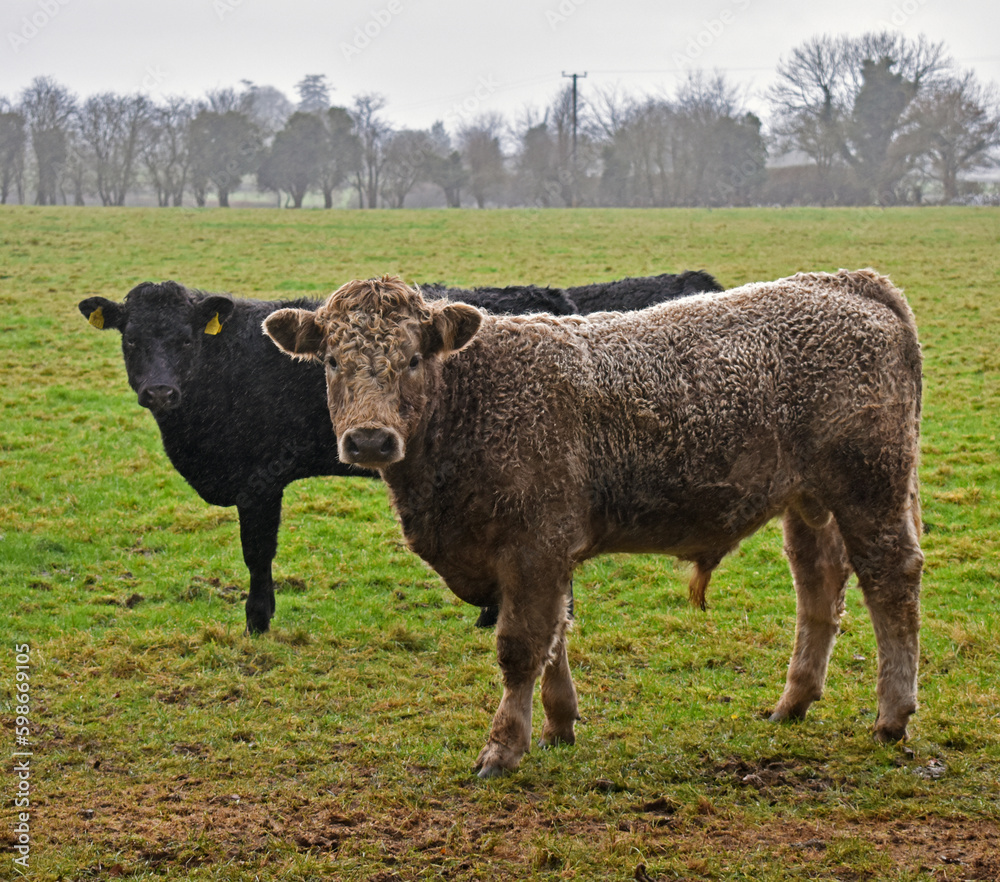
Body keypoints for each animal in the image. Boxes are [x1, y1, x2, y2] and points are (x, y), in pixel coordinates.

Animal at [79, 280, 577, 635]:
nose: (160, 391)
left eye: (185, 341)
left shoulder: (259, 481)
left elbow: (257, 552)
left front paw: (257, 621)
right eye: (130, 341)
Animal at [263, 270, 923, 778]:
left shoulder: (534, 547)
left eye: (414, 357)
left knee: (891, 578)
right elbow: (554, 635)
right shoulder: (537, 557)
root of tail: (846, 281)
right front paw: (559, 723)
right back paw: (794, 701)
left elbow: (521, 646)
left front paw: (503, 747)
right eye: (330, 360)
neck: (472, 402)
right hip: (808, 501)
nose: (370, 439)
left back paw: (891, 715)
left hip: (871, 489)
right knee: (819, 585)